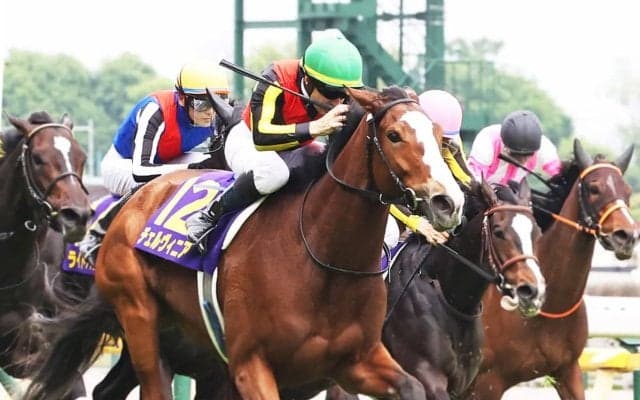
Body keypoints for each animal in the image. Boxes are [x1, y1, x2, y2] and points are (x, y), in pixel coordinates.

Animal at [24, 86, 465, 400]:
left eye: (440, 137)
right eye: (394, 135)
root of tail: (135, 202)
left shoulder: (355, 362)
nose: (448, 202)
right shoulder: (250, 366)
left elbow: (411, 387)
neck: (322, 259)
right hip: (138, 316)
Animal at [325, 179, 545, 400]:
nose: (531, 290)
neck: (451, 298)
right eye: (499, 232)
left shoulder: (462, 384)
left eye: (536, 233)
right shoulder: (427, 375)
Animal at [468, 139, 637, 399]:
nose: (627, 236)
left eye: (627, 191)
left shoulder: (568, 370)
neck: (549, 307)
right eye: (594, 189)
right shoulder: (487, 382)